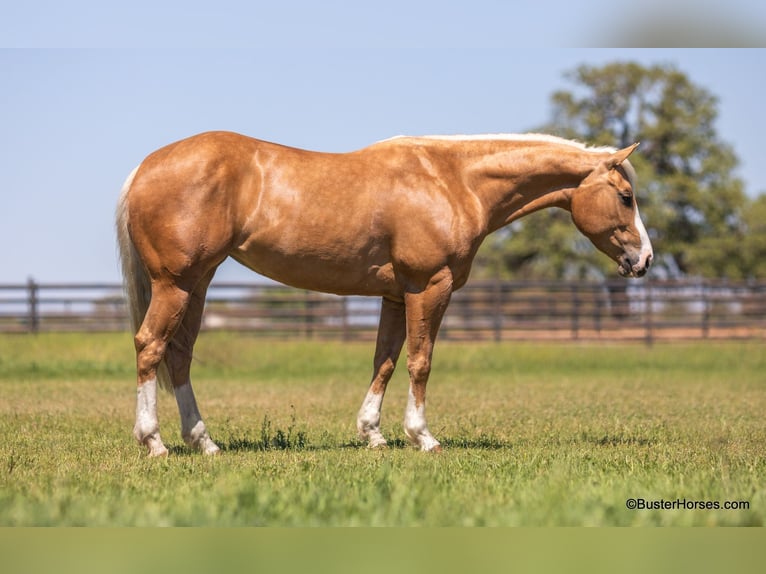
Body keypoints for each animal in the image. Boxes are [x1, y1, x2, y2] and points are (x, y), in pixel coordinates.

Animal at [115, 132, 656, 460]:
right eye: (626, 197)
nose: (645, 260)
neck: (453, 180)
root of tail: (144, 167)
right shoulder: (429, 286)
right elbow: (420, 362)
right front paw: (423, 436)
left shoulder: (396, 296)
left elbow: (386, 361)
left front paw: (372, 433)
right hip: (177, 283)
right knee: (150, 346)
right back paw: (155, 442)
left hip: (198, 283)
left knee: (179, 355)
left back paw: (204, 442)